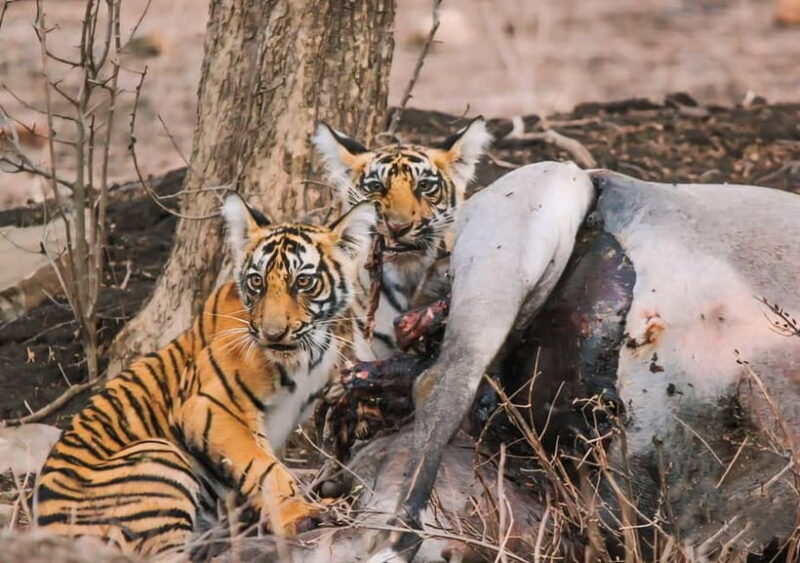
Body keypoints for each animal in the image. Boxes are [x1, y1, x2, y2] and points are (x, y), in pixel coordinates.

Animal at [35, 193, 377, 557]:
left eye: (303, 282)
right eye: (256, 282)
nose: (273, 334)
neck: (307, 353)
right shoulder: (211, 406)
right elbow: (265, 467)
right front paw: (298, 516)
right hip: (158, 455)